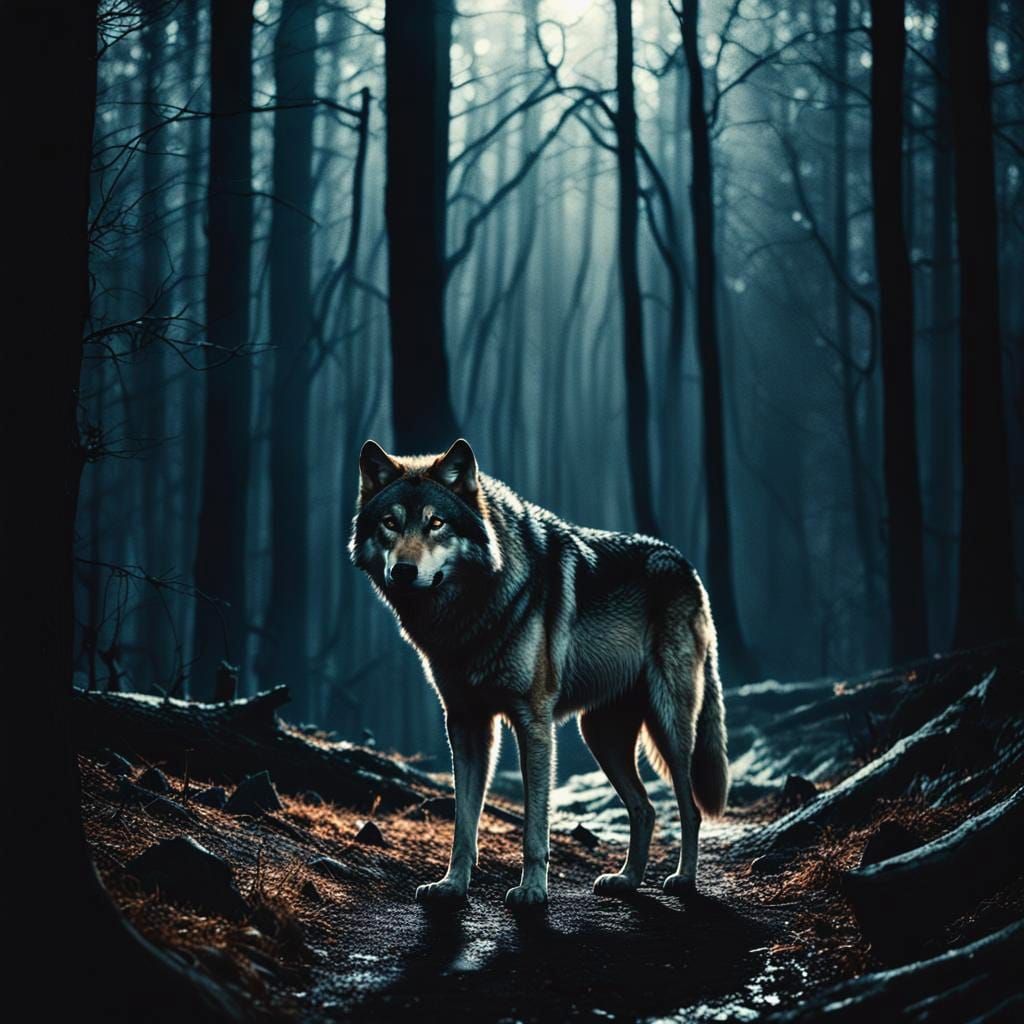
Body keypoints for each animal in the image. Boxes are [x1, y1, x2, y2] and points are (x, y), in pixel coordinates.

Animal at [349, 438, 729, 907]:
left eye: (436, 523)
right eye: (390, 522)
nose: (403, 570)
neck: (471, 611)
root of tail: (687, 568)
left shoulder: (533, 724)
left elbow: (534, 826)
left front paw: (531, 891)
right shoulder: (466, 724)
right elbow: (463, 823)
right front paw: (452, 886)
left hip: (670, 728)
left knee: (689, 808)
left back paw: (684, 880)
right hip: (600, 736)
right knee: (645, 808)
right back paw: (626, 880)